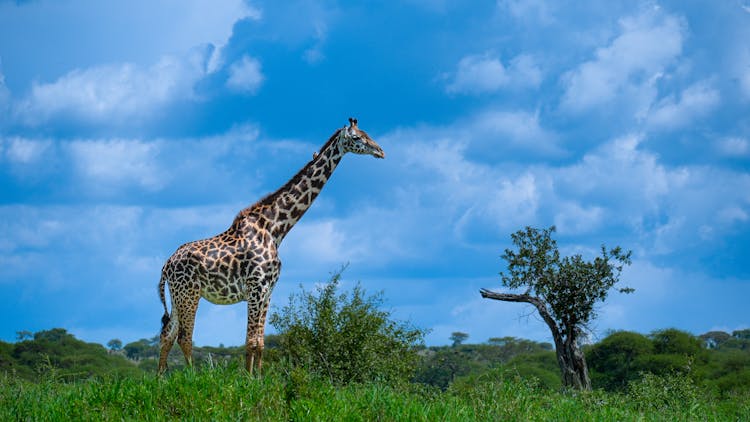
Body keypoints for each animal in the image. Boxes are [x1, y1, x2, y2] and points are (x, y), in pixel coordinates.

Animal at [156, 118, 384, 372]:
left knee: (167, 334)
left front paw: (258, 377)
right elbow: (250, 341)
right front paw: (247, 378)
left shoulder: (268, 290)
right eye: (356, 138)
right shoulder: (256, 287)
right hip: (190, 294)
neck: (276, 229)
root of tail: (166, 265)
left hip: (177, 295)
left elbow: (261, 342)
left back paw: (161, 377)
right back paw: (195, 376)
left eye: (367, 134)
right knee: (184, 337)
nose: (380, 151)